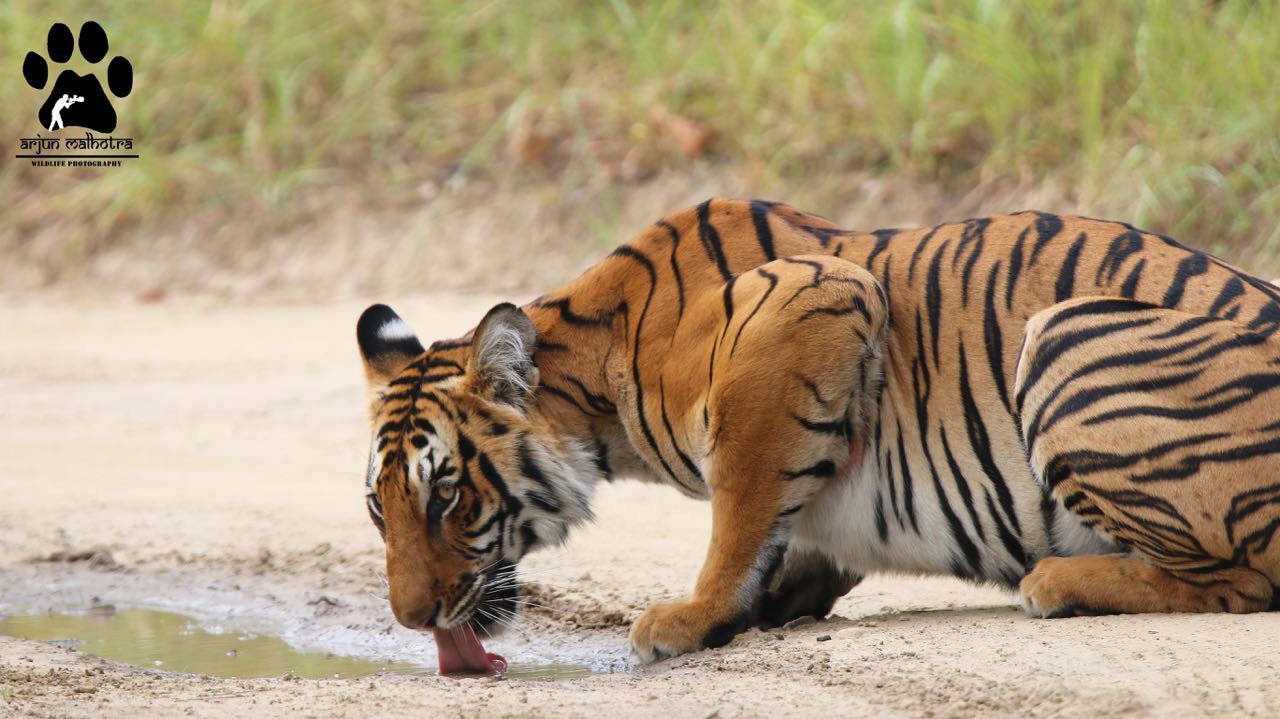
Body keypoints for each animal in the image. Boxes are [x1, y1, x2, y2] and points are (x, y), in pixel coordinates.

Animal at [356, 198, 1280, 667]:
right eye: (377, 507)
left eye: (445, 495)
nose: (410, 618)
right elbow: (784, 527)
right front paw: (769, 600)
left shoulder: (811, 304)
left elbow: (740, 509)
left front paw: (690, 616)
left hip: (1063, 332)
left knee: (1243, 580)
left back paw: (1056, 579)